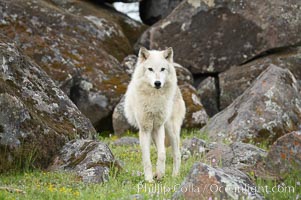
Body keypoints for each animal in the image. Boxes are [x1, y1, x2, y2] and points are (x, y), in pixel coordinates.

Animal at [123, 47, 184, 183]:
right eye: (150, 69)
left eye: (162, 69)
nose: (157, 83)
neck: (154, 99)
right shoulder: (145, 129)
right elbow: (147, 159)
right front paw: (149, 180)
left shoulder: (158, 127)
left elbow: (162, 154)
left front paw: (160, 174)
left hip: (171, 130)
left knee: (177, 154)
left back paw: (175, 176)